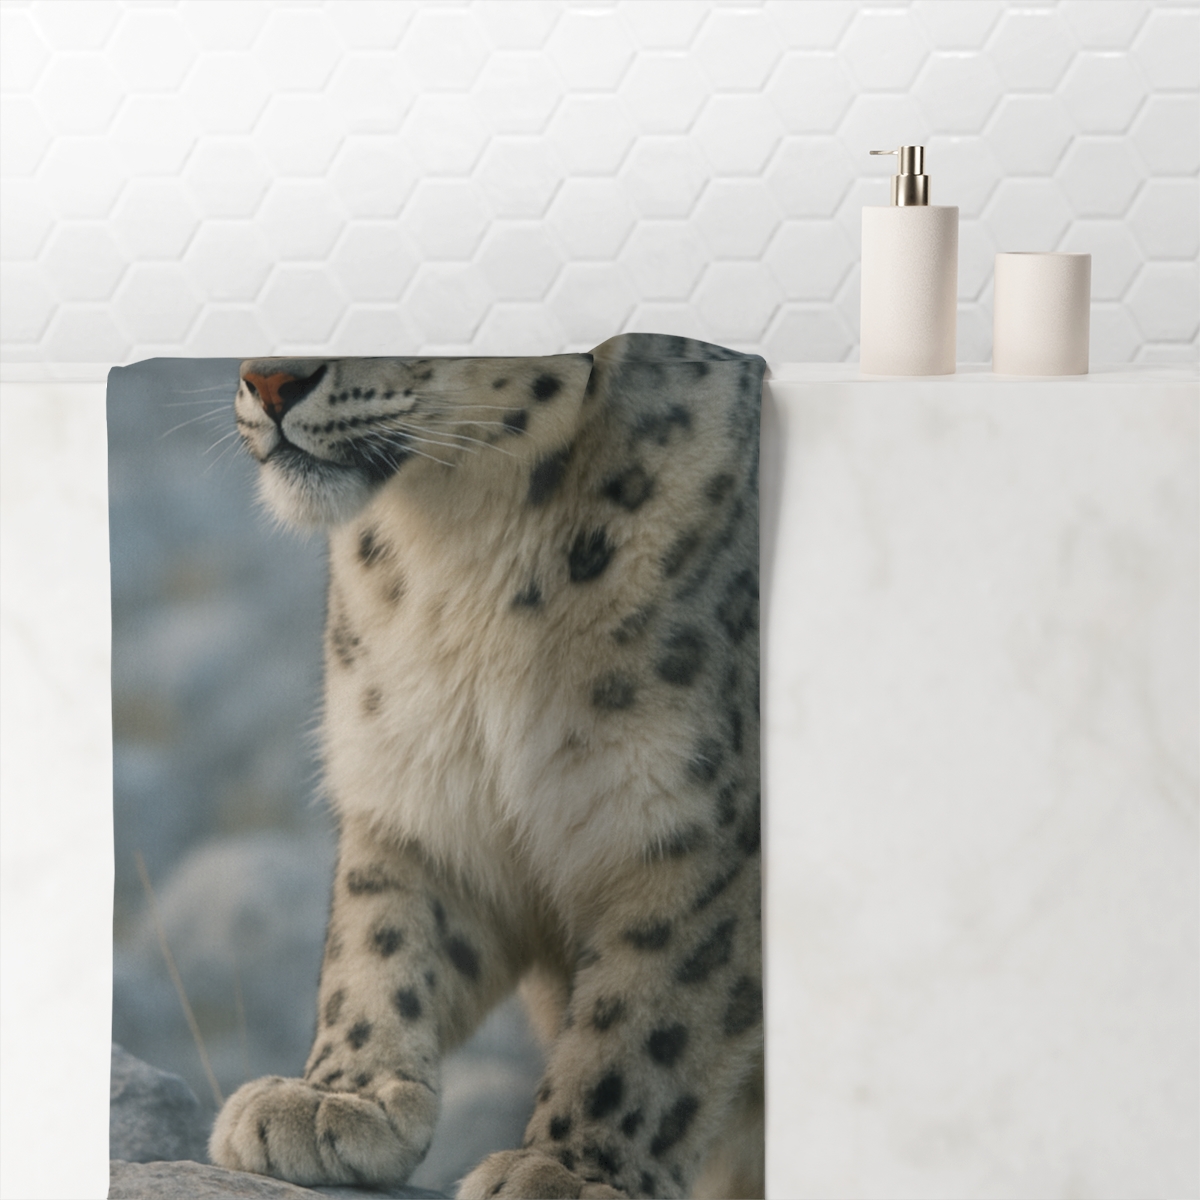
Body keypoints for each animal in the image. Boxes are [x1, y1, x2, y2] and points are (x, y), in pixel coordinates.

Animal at [208, 333, 764, 1200]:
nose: (270, 381)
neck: (463, 548)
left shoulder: (699, 824)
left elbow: (652, 1009)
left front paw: (567, 1171)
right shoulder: (418, 782)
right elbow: (382, 932)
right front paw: (335, 1099)